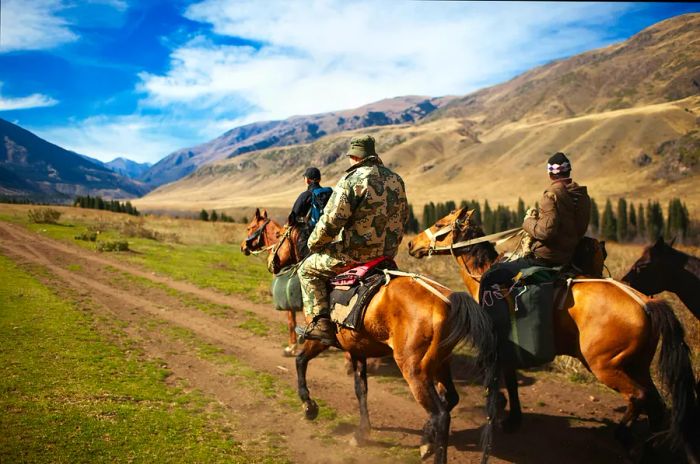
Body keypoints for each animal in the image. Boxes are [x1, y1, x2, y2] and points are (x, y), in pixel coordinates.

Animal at [266, 220, 498, 464]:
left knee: (440, 414)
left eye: (279, 235)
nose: (271, 262)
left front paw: (309, 406)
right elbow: (361, 389)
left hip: (414, 369)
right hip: (440, 362)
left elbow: (300, 361)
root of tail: (449, 301)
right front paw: (361, 433)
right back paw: (426, 441)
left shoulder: (320, 339)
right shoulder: (357, 350)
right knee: (450, 399)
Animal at [408, 208, 696, 462]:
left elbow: (502, 380)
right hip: (637, 365)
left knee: (639, 397)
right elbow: (511, 380)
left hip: (606, 366)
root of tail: (646, 303)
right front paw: (513, 418)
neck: (483, 275)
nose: (412, 244)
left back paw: (625, 437)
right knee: (657, 406)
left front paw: (503, 412)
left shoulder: (497, 345)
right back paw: (648, 451)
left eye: (439, 224)